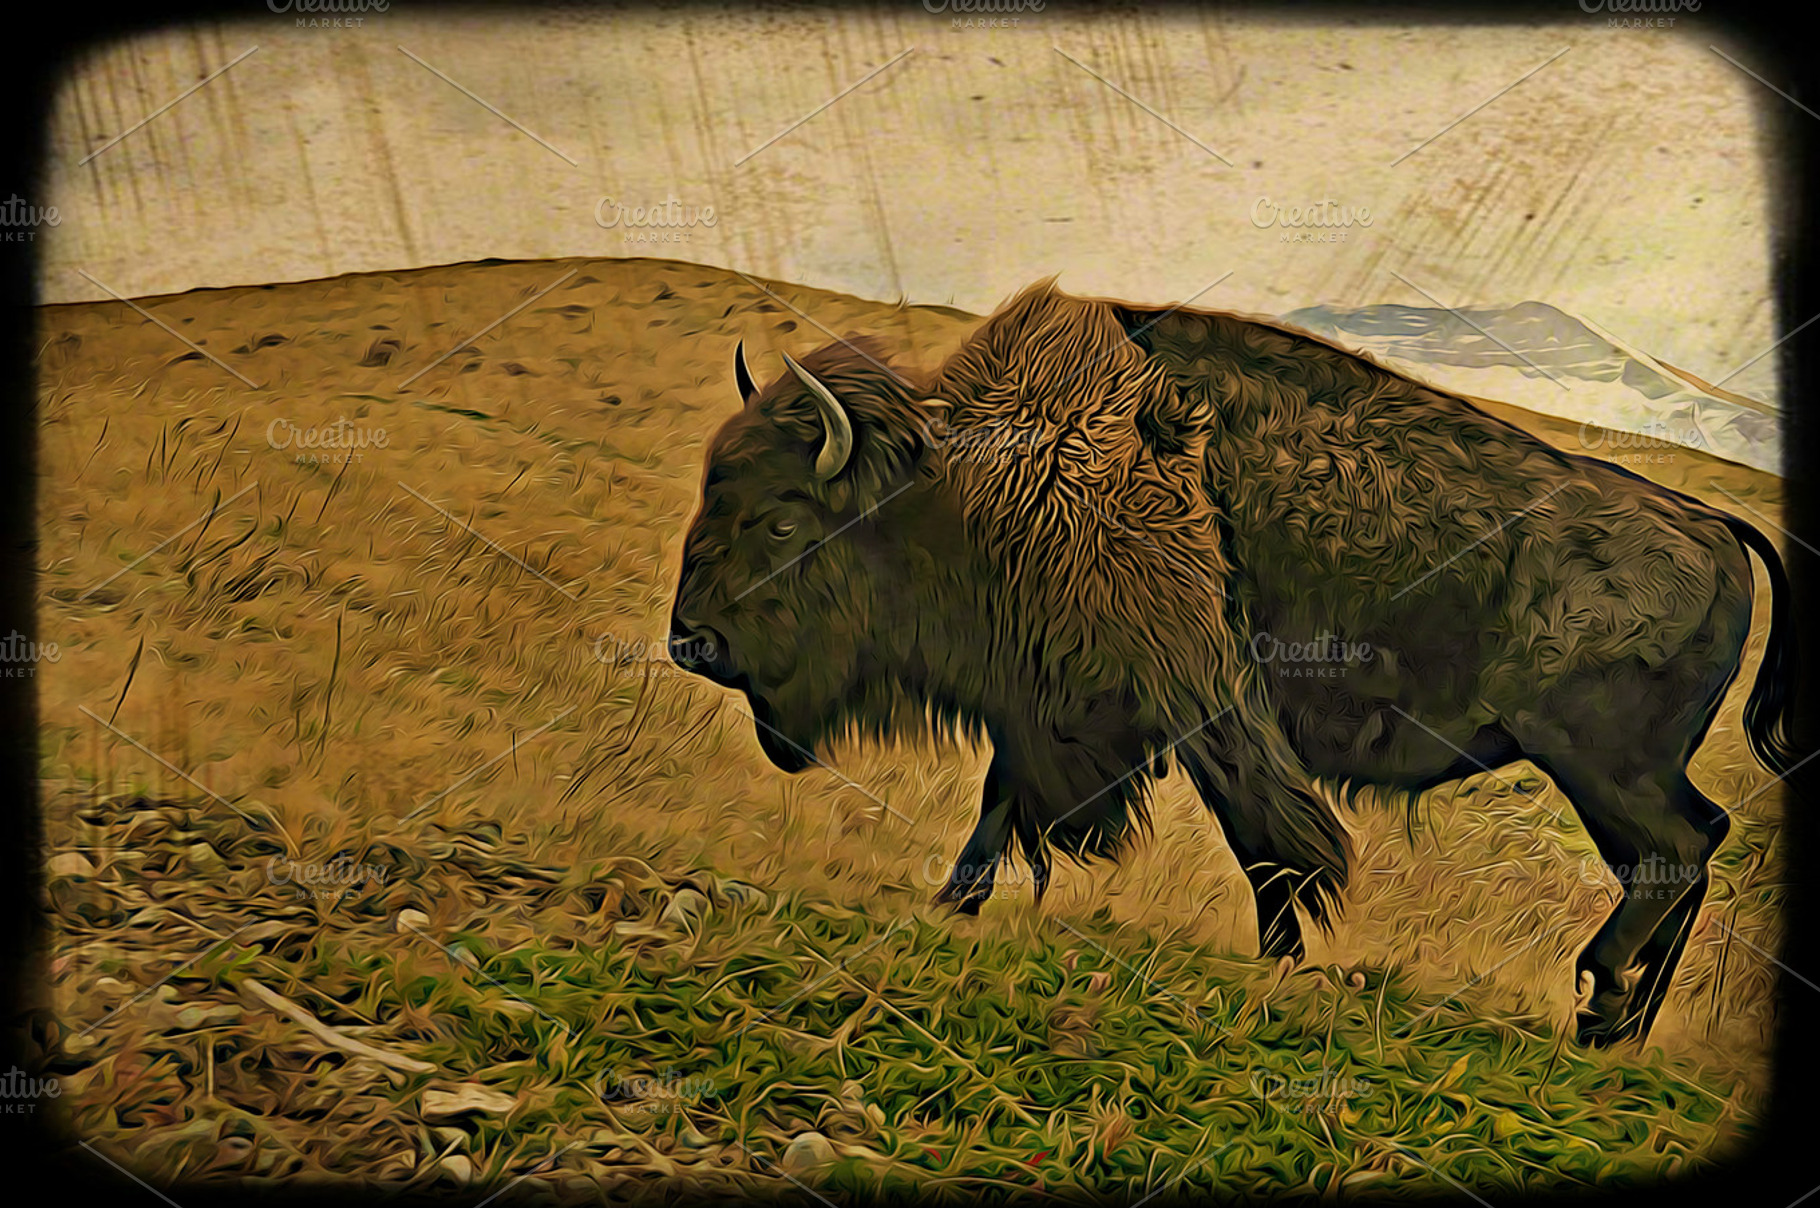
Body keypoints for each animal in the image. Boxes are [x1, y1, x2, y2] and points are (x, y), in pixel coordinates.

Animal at [669, 282, 1796, 1046]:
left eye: (782, 518)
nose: (691, 640)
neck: (983, 477)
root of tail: (1716, 526)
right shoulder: (1054, 698)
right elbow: (1004, 797)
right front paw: (955, 901)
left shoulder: (1196, 704)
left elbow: (1269, 843)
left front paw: (1280, 961)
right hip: (1614, 772)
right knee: (1689, 850)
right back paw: (1621, 1028)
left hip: (1596, 762)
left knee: (1675, 851)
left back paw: (1600, 999)